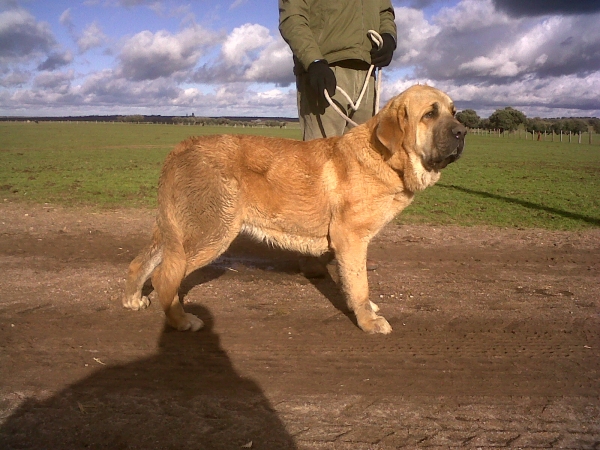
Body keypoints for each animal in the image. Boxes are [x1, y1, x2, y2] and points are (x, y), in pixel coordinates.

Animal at [122, 86, 466, 334]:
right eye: (430, 114)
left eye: (454, 112)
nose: (463, 132)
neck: (385, 157)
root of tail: (182, 147)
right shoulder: (351, 240)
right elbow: (359, 286)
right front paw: (368, 322)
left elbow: (354, 284)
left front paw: (367, 310)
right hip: (212, 233)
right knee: (165, 277)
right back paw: (182, 321)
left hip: (176, 232)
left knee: (141, 264)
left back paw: (133, 299)